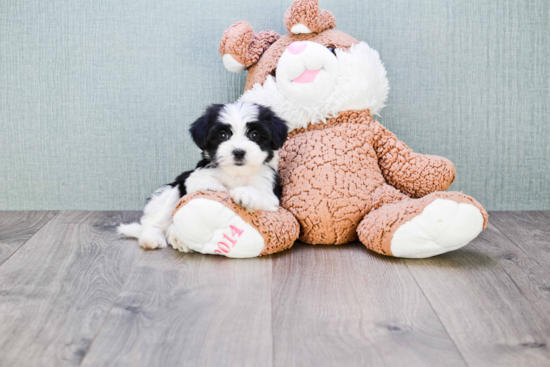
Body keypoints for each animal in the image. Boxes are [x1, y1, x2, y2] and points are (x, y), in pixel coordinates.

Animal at [119, 102, 292, 252]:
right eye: (223, 135)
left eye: (254, 135)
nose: (238, 152)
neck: (235, 173)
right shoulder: (192, 177)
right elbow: (202, 182)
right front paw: (214, 187)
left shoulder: (271, 193)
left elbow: (262, 196)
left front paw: (245, 194)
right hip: (169, 192)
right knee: (155, 219)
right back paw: (153, 238)